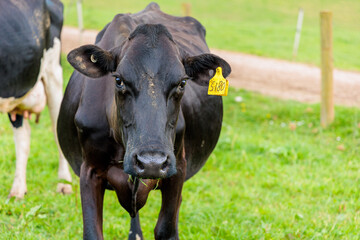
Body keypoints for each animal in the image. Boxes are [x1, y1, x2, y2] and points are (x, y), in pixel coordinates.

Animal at [57, 2, 229, 240]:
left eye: (183, 82)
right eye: (118, 80)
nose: (151, 162)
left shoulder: (178, 166)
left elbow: (166, 229)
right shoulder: (90, 168)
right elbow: (92, 232)